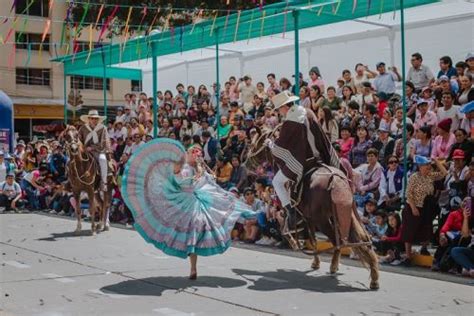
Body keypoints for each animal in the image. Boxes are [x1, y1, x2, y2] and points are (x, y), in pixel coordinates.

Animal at [246, 128, 380, 288]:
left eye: (257, 142)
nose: (247, 160)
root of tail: (336, 180)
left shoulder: (305, 218)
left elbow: (298, 234)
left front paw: (304, 251)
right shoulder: (310, 219)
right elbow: (311, 239)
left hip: (322, 220)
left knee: (337, 241)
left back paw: (335, 266)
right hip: (347, 215)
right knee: (361, 240)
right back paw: (373, 275)